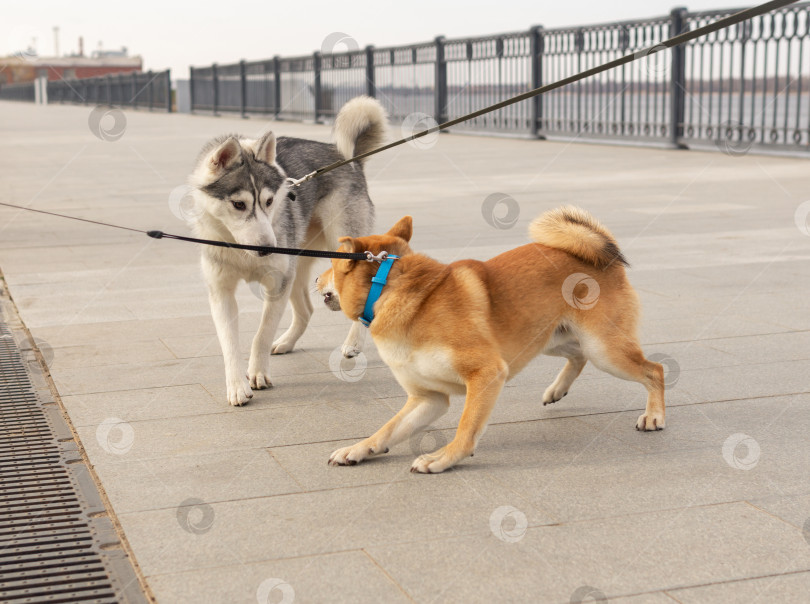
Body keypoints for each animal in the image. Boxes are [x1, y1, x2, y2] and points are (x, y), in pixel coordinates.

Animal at [188, 96, 386, 406]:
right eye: (239, 204)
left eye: (269, 201)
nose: (268, 248)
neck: (242, 251)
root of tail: (346, 159)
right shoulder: (221, 292)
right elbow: (229, 342)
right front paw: (236, 385)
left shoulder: (277, 284)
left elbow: (261, 334)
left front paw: (257, 373)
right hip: (297, 265)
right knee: (306, 310)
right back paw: (287, 342)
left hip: (339, 250)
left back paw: (353, 343)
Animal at [316, 208, 664, 472]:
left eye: (330, 264)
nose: (317, 279)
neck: (387, 285)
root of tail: (603, 259)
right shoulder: (428, 398)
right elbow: (387, 430)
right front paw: (358, 449)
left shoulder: (486, 374)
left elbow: (467, 426)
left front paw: (444, 457)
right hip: (547, 339)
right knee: (578, 357)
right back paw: (557, 389)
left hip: (604, 349)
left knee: (654, 370)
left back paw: (654, 415)